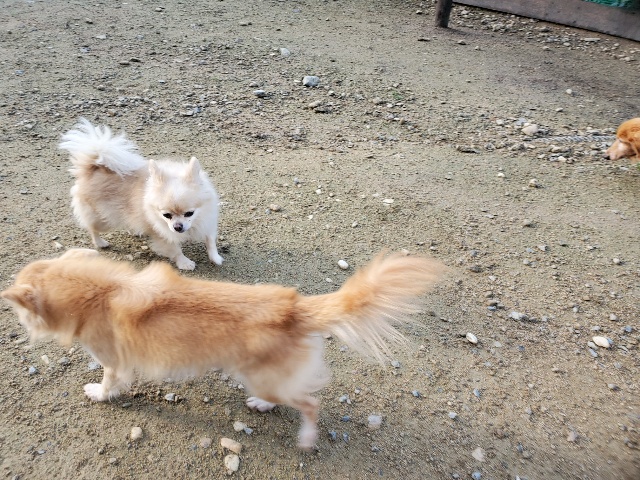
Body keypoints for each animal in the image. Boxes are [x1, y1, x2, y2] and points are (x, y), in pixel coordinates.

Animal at [1, 249, 445, 449]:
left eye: (21, 311)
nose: (19, 324)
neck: (99, 292)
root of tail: (294, 307)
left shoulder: (113, 362)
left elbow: (110, 383)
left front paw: (97, 393)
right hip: (264, 377)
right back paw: (262, 407)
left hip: (263, 376)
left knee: (310, 404)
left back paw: (305, 438)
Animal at [59, 118, 223, 270]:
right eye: (166, 215)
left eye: (189, 213)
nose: (177, 227)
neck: (194, 223)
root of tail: (92, 167)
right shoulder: (162, 235)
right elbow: (175, 250)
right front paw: (184, 262)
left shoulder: (208, 221)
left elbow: (210, 241)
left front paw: (215, 258)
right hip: (103, 220)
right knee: (92, 228)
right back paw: (100, 243)